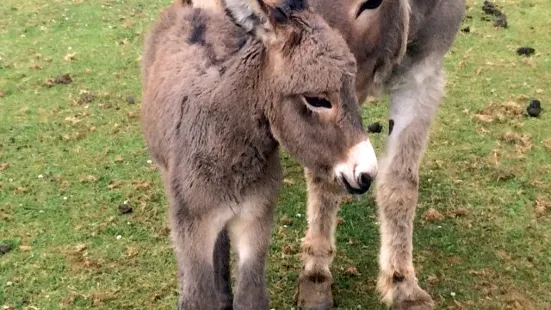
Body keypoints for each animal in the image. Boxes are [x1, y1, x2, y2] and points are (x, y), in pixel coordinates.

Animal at [141, 1, 380, 308]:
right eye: (317, 100)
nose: (367, 174)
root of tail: (193, 6)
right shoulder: (194, 226)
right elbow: (197, 297)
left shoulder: (255, 218)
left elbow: (251, 296)